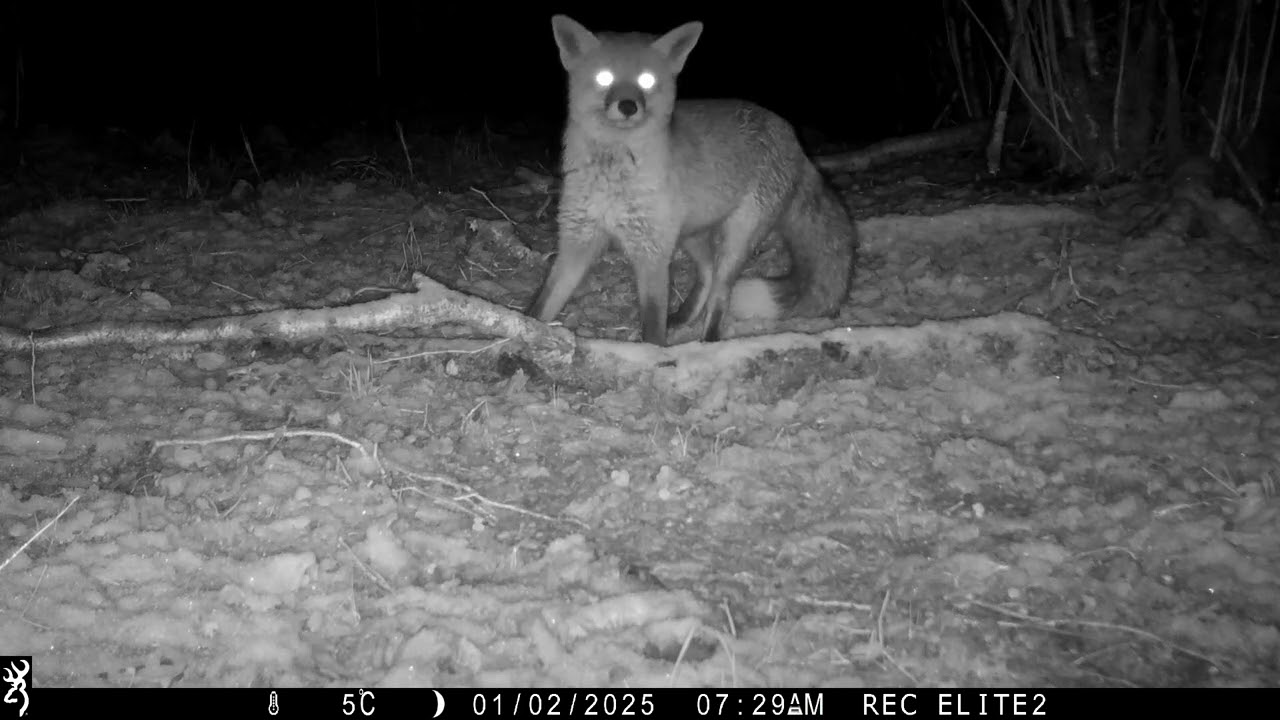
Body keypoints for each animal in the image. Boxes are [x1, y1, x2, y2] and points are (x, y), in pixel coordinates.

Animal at [529, 15, 858, 347]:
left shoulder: (652, 253)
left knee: (720, 294)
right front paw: (529, 333)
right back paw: (686, 317)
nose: (628, 106)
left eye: (646, 80)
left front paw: (654, 353)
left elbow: (652, 327)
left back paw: (709, 341)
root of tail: (793, 137)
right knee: (708, 274)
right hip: (690, 235)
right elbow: (540, 308)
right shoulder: (576, 242)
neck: (612, 177)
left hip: (737, 237)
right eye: (604, 77)